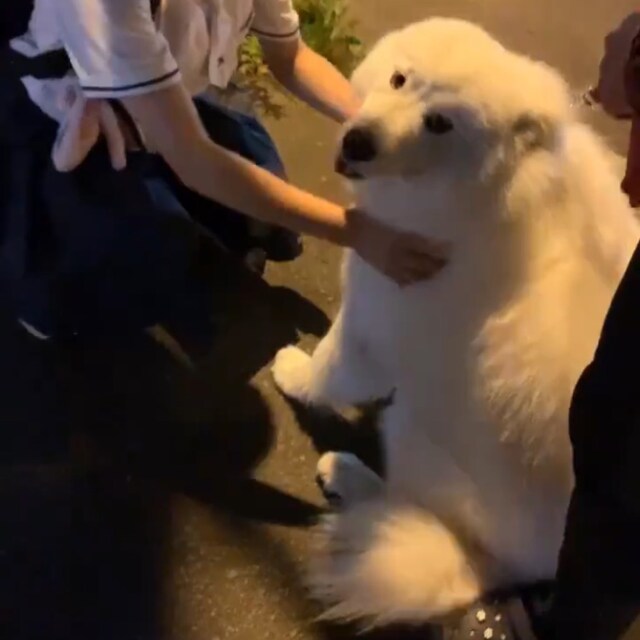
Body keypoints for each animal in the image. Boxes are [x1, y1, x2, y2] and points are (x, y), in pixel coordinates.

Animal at [272, 18, 640, 627]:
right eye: (400, 79)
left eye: (440, 123)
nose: (358, 141)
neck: (482, 189)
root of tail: (517, 572)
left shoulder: (373, 320)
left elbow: (327, 370)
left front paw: (292, 372)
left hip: (412, 427)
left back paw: (348, 476)